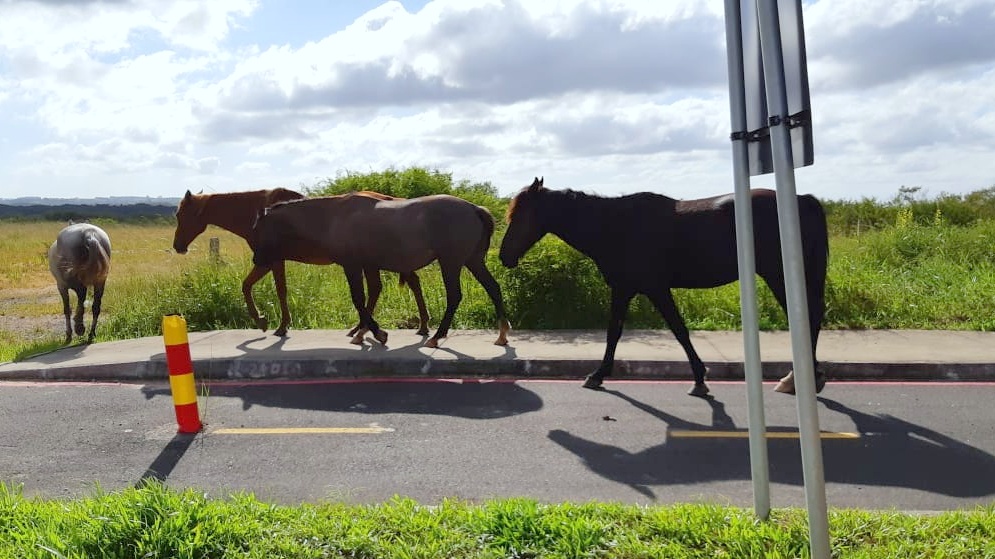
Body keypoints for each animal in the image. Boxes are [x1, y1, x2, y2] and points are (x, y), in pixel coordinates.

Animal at [174, 189, 428, 336]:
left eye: (180, 214)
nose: (178, 246)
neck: (255, 213)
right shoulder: (270, 261)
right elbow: (265, 288)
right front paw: (273, 322)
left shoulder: (270, 260)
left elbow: (260, 288)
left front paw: (268, 322)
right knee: (395, 285)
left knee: (406, 283)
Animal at [249, 195, 512, 348]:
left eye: (258, 229)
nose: (257, 259)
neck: (334, 217)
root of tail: (475, 208)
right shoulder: (369, 265)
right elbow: (371, 294)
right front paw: (363, 331)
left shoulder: (353, 265)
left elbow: (358, 298)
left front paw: (376, 333)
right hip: (472, 261)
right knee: (493, 288)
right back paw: (501, 335)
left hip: (451, 262)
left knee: (455, 296)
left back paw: (437, 336)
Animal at [498, 177, 832, 396]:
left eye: (520, 215)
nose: (503, 256)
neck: (615, 225)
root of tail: (803, 200)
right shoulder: (627, 288)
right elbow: (616, 332)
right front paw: (600, 374)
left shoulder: (650, 288)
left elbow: (676, 329)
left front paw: (699, 377)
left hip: (780, 274)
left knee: (806, 318)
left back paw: (799, 378)